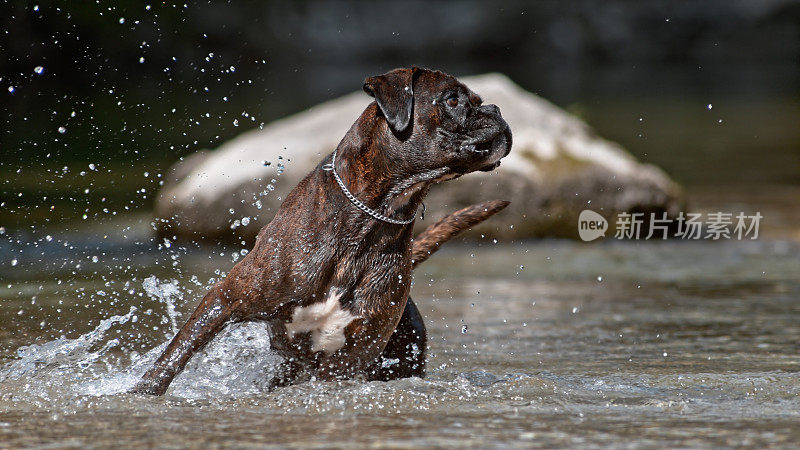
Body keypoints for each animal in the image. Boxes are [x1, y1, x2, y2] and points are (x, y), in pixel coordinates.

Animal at [128, 66, 510, 394]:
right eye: (453, 100)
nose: (495, 108)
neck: (374, 216)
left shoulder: (353, 354)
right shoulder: (226, 298)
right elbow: (178, 352)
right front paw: (143, 391)